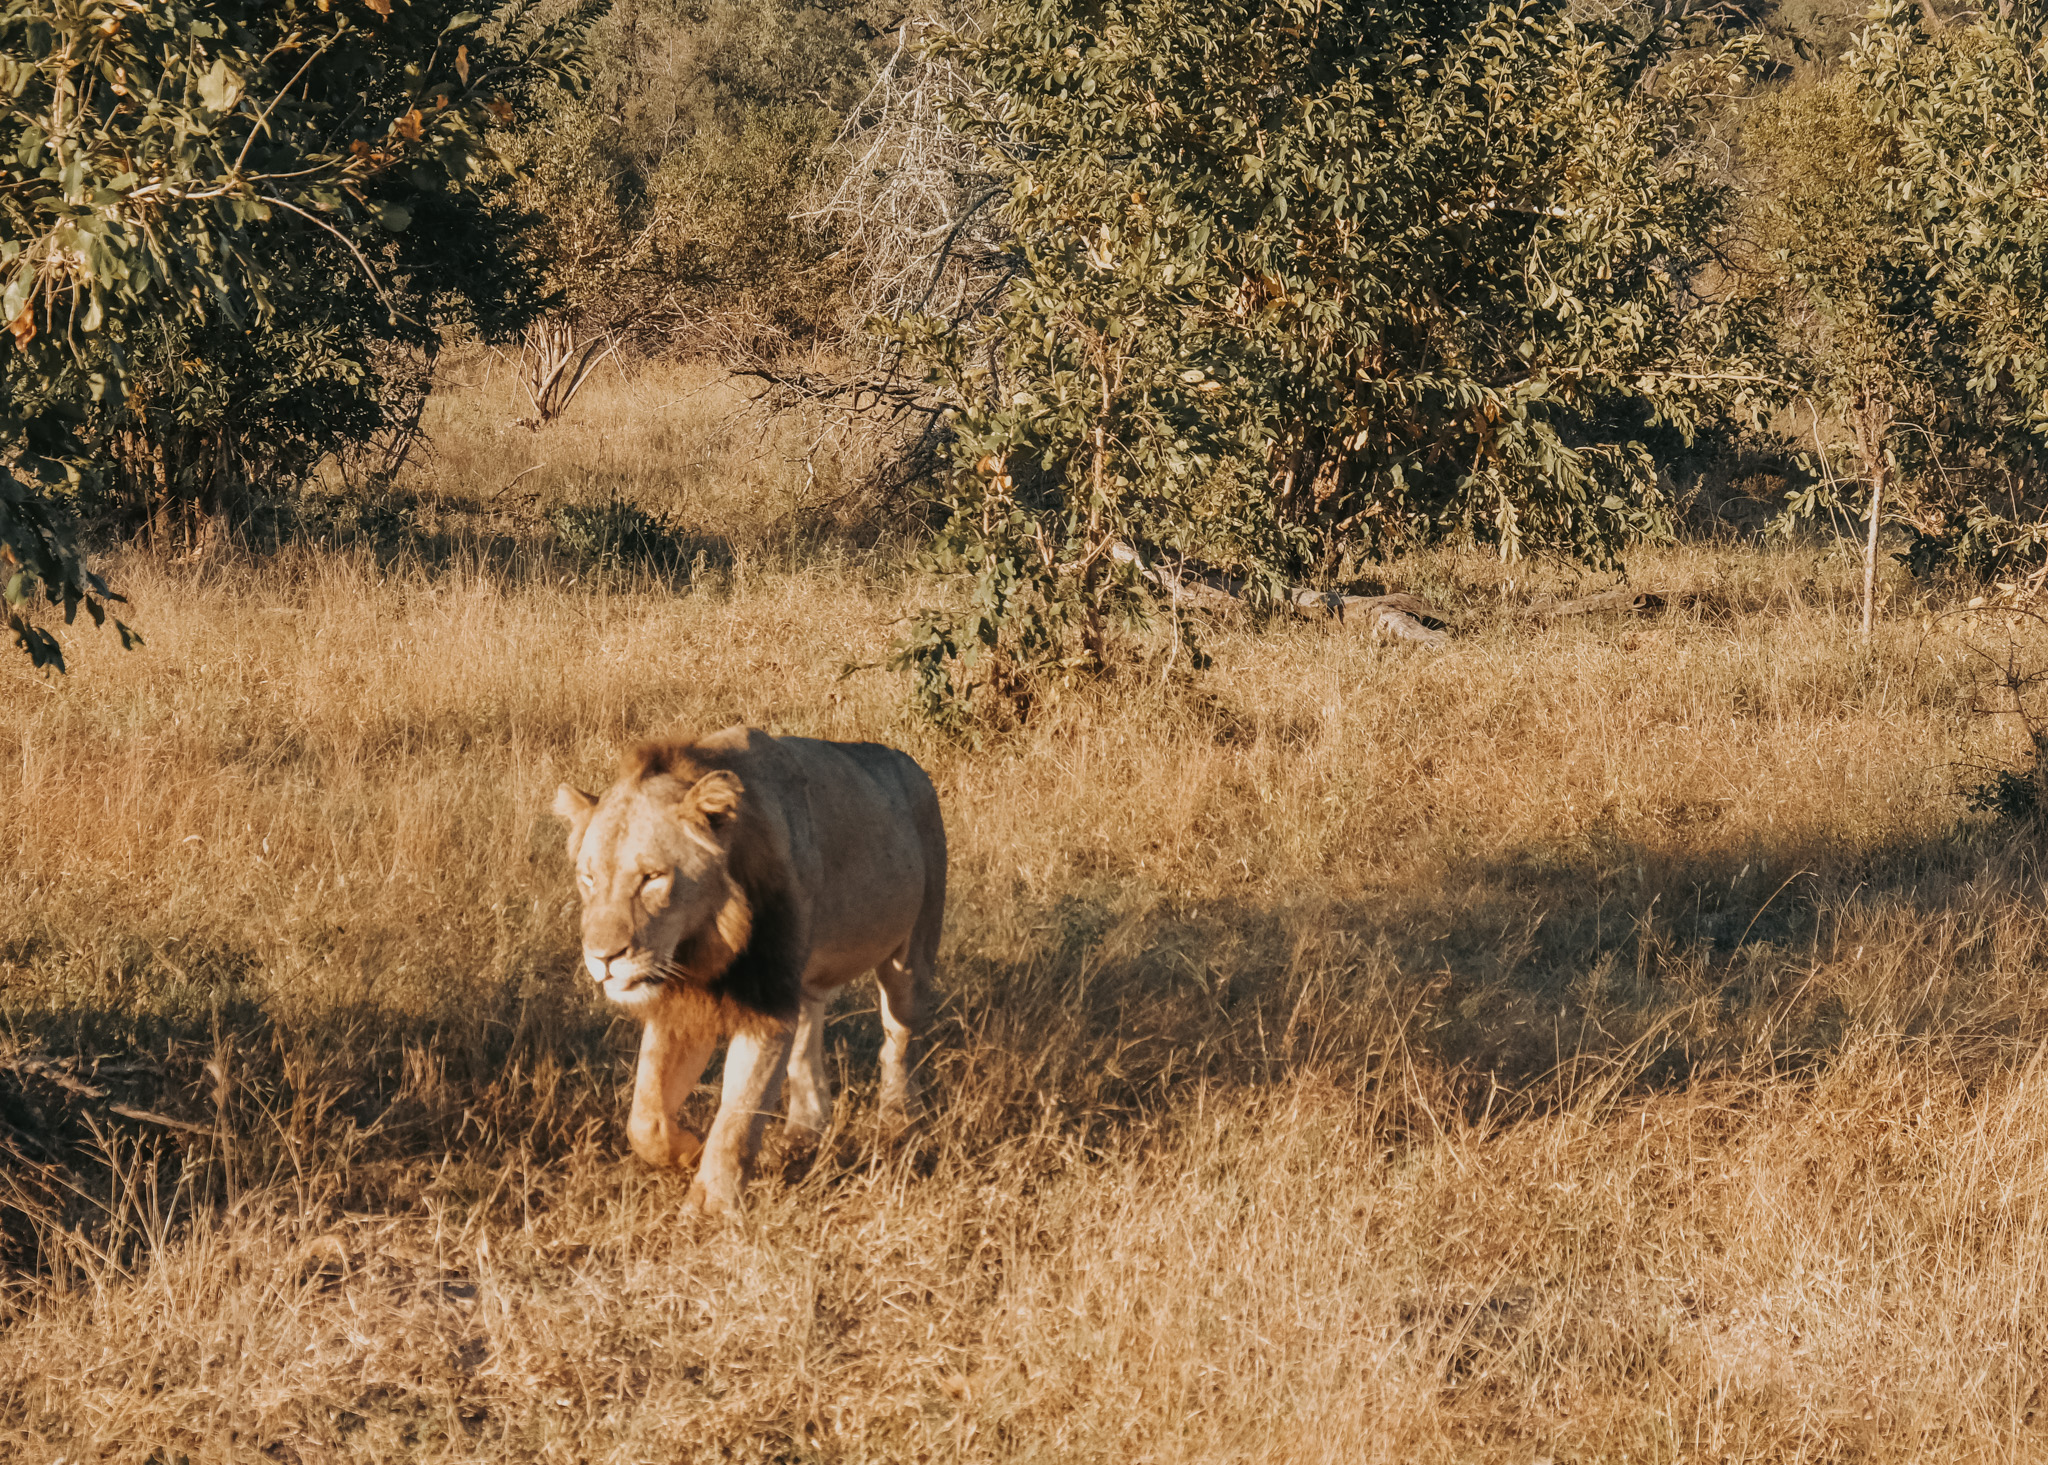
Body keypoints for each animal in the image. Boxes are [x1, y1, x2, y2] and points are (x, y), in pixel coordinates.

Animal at [557, 721, 946, 1212]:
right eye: (588, 878)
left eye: (653, 878)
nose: (603, 958)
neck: (705, 940)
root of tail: (913, 767)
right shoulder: (685, 1003)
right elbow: (645, 1117)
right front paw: (687, 1152)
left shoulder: (766, 998)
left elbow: (739, 1112)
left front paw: (712, 1204)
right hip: (803, 975)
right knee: (808, 1040)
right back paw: (801, 1135)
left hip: (910, 956)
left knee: (898, 1042)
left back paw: (897, 1123)